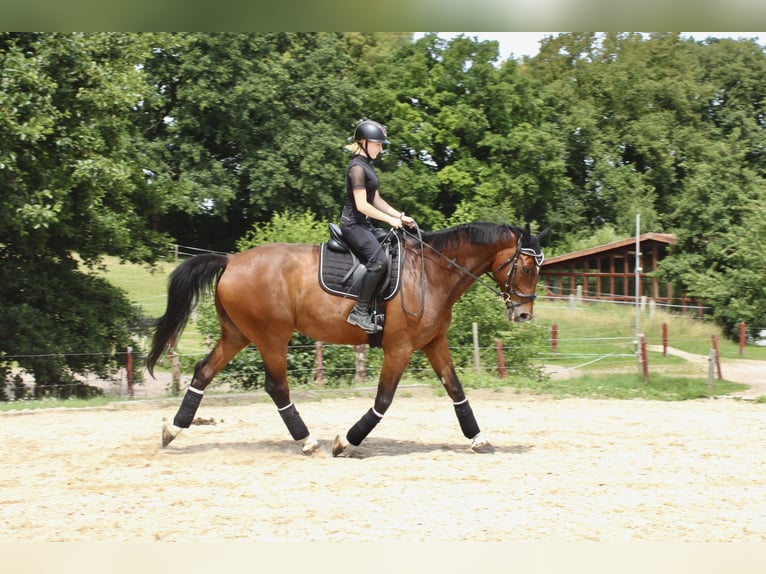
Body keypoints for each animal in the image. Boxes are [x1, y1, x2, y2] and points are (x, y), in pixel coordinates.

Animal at [147, 222, 548, 456]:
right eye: (528, 267)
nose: (524, 314)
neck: (432, 273)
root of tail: (231, 260)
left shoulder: (434, 343)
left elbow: (456, 391)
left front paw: (478, 438)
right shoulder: (399, 348)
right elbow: (384, 400)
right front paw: (347, 440)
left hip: (238, 334)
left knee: (203, 372)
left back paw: (172, 430)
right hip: (271, 336)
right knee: (276, 387)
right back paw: (308, 440)